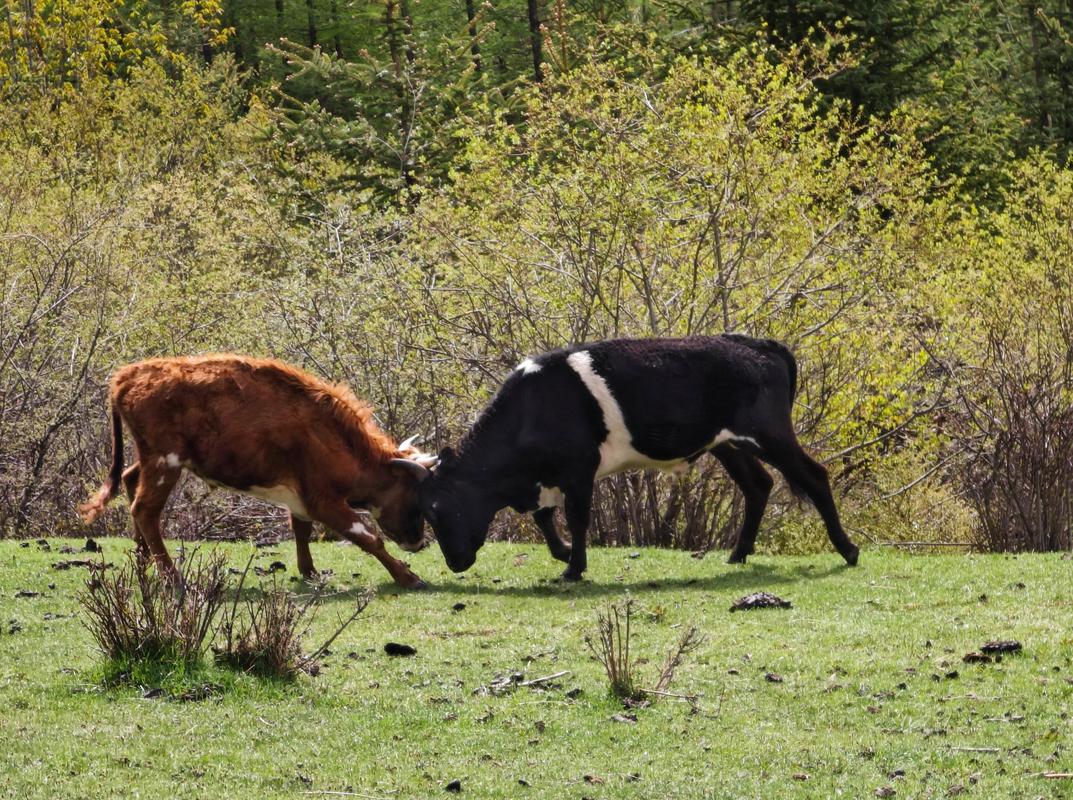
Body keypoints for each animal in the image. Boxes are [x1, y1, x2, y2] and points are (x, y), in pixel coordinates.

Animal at [76, 356, 435, 587]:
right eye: (416, 501)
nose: (418, 543)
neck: (331, 435)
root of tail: (129, 374)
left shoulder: (301, 496)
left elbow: (301, 529)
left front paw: (309, 571)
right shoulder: (324, 500)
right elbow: (368, 536)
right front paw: (407, 577)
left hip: (152, 458)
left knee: (130, 480)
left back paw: (142, 561)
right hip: (166, 462)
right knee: (145, 509)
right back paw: (172, 577)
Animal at [414, 334, 858, 579]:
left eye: (435, 510)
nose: (454, 563)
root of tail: (757, 343)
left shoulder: (579, 469)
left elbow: (576, 517)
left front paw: (574, 567)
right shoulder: (550, 477)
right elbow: (544, 517)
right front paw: (563, 554)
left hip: (769, 435)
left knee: (814, 476)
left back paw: (848, 550)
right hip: (726, 444)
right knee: (758, 485)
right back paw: (737, 554)